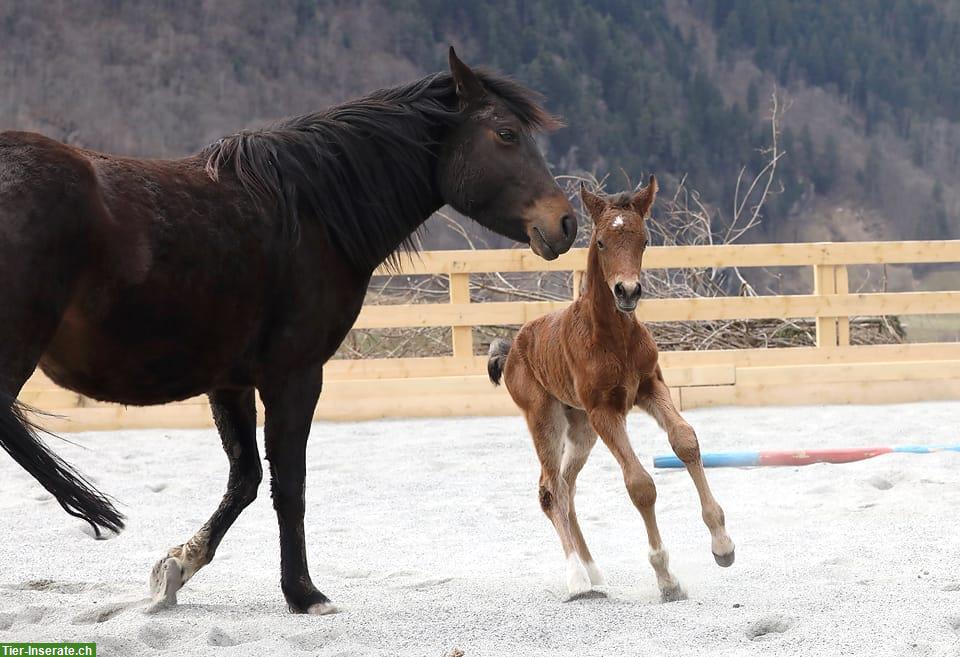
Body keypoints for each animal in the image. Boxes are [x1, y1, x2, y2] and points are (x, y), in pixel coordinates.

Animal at [488, 178, 736, 600]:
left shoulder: (650, 386)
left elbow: (685, 440)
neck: (612, 336)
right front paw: (666, 578)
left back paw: (594, 572)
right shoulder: (606, 410)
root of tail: (512, 348)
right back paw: (577, 579)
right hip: (545, 418)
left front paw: (722, 544)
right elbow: (639, 484)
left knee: (567, 488)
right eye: (602, 242)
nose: (628, 291)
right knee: (550, 490)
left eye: (645, 240)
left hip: (581, 426)